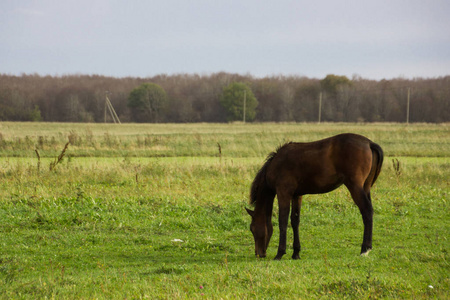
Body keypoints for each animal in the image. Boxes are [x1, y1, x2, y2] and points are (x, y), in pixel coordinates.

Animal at [246, 134, 384, 260]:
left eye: (252, 228)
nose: (259, 254)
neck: (277, 164)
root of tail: (369, 143)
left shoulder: (283, 193)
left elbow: (283, 221)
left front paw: (280, 253)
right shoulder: (297, 195)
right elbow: (295, 221)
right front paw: (296, 253)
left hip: (355, 187)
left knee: (367, 211)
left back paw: (365, 249)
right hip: (366, 187)